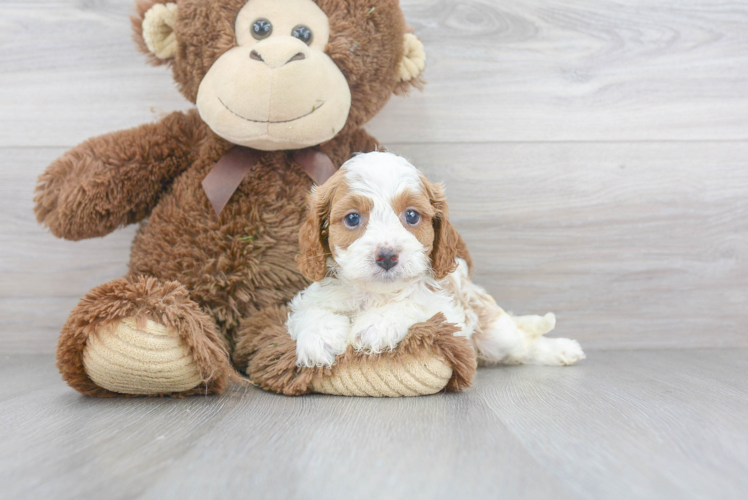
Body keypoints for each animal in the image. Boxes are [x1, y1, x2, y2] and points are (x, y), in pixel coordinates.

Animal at [286, 151, 584, 368]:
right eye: (352, 218)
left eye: (411, 216)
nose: (387, 255)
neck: (375, 294)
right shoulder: (313, 296)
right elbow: (311, 310)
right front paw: (318, 337)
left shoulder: (448, 311)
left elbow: (414, 302)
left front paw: (377, 323)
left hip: (496, 332)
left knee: (523, 344)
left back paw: (562, 349)